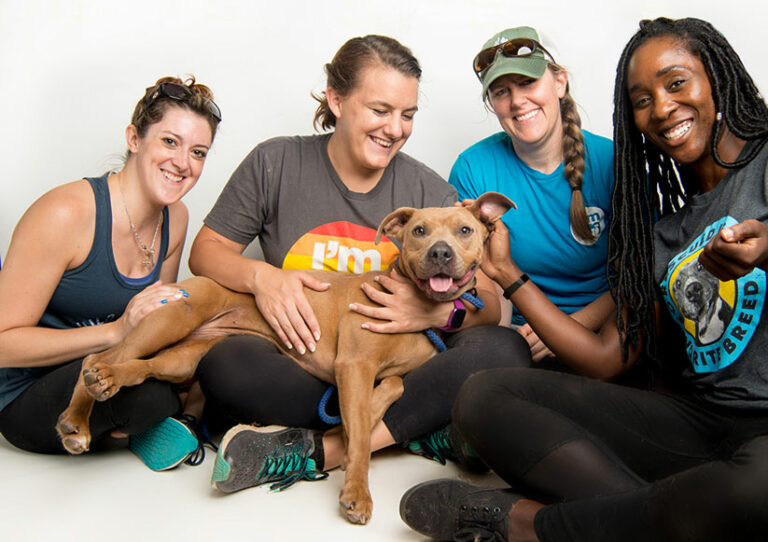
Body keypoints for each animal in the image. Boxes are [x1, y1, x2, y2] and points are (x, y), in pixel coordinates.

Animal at [57, 192, 512, 528]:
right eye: (419, 231)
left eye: (465, 230)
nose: (440, 253)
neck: (413, 303)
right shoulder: (353, 365)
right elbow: (362, 435)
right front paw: (356, 490)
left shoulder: (379, 372)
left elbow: (392, 388)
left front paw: (361, 416)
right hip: (174, 318)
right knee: (101, 355)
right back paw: (79, 417)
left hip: (186, 357)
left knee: (142, 366)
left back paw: (109, 386)